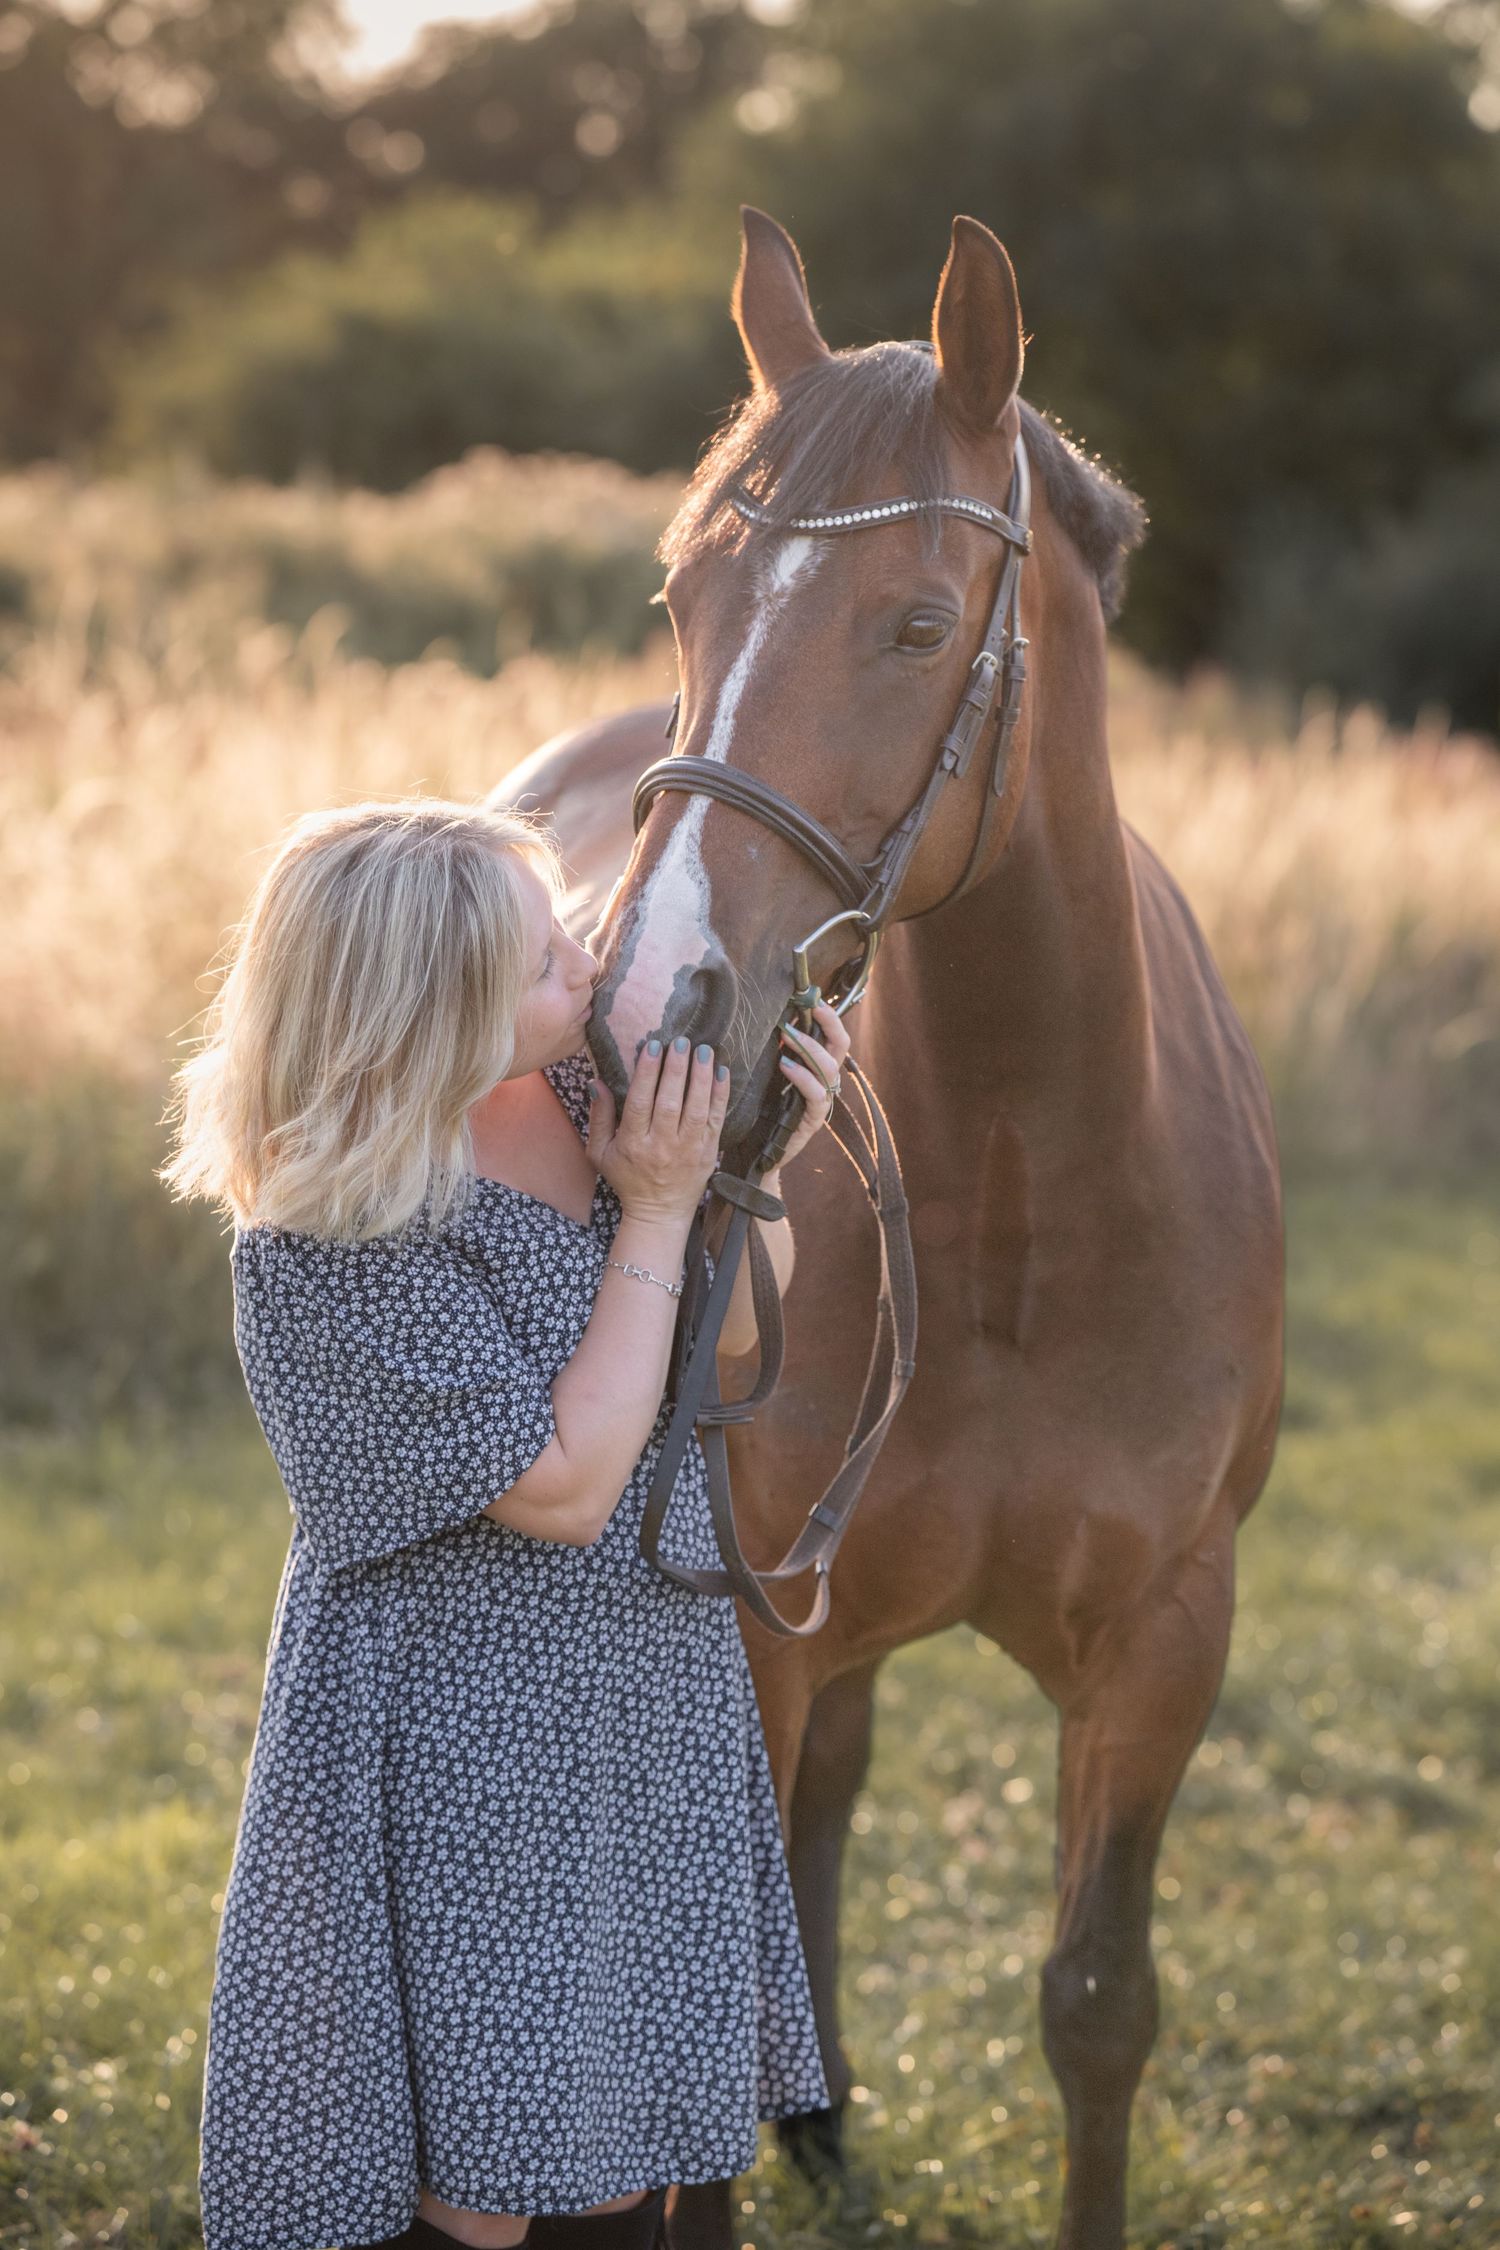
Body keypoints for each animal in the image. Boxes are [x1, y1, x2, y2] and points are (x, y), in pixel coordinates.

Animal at [494, 207, 1285, 2250]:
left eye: (920, 627)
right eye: (684, 601)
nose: (645, 1015)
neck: (1029, 1199)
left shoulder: (1166, 1642)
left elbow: (1100, 2005)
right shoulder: (748, 1628)